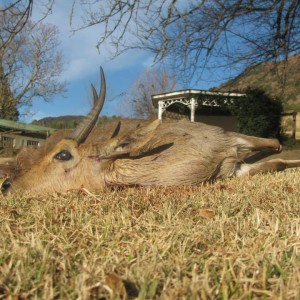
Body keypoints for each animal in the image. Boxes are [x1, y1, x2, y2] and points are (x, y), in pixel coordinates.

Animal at [0, 67, 300, 196]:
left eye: (63, 154)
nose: (6, 186)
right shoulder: (235, 168)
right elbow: (274, 162)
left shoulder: (231, 142)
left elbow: (275, 145)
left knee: (274, 142)